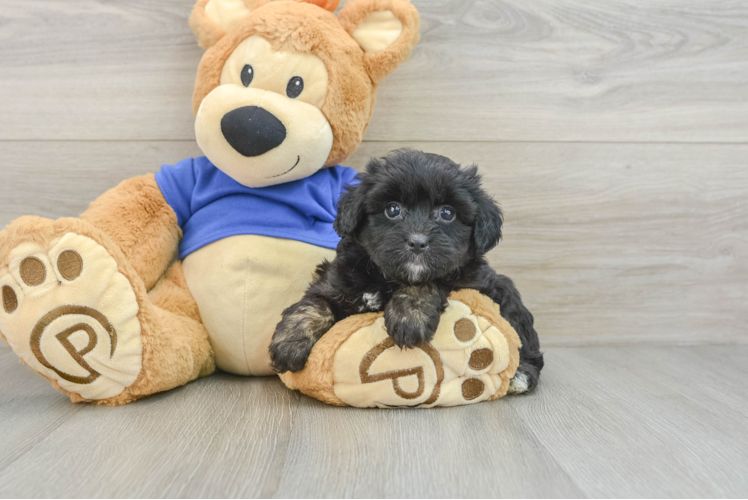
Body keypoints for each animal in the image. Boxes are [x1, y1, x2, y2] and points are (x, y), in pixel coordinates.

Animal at [268, 149, 544, 394]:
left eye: (447, 213)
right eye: (392, 209)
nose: (418, 242)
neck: (385, 277)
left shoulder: (468, 279)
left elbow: (431, 280)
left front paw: (409, 317)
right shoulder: (336, 281)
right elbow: (314, 303)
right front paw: (289, 343)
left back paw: (521, 375)